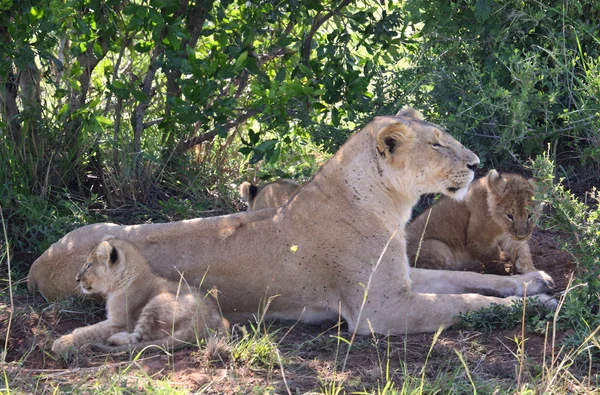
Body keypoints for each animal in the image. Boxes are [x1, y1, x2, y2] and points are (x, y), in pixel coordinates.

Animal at [50, 238, 229, 356]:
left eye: (88, 265)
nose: (77, 279)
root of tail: (201, 323)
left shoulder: (120, 322)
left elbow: (90, 331)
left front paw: (62, 342)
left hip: (157, 302)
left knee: (139, 339)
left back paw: (114, 339)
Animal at [408, 170, 540, 276]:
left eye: (530, 215)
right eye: (510, 216)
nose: (521, 236)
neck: (499, 224)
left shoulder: (510, 235)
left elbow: (523, 251)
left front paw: (533, 272)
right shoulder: (479, 241)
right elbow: (492, 259)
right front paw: (503, 273)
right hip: (438, 248)